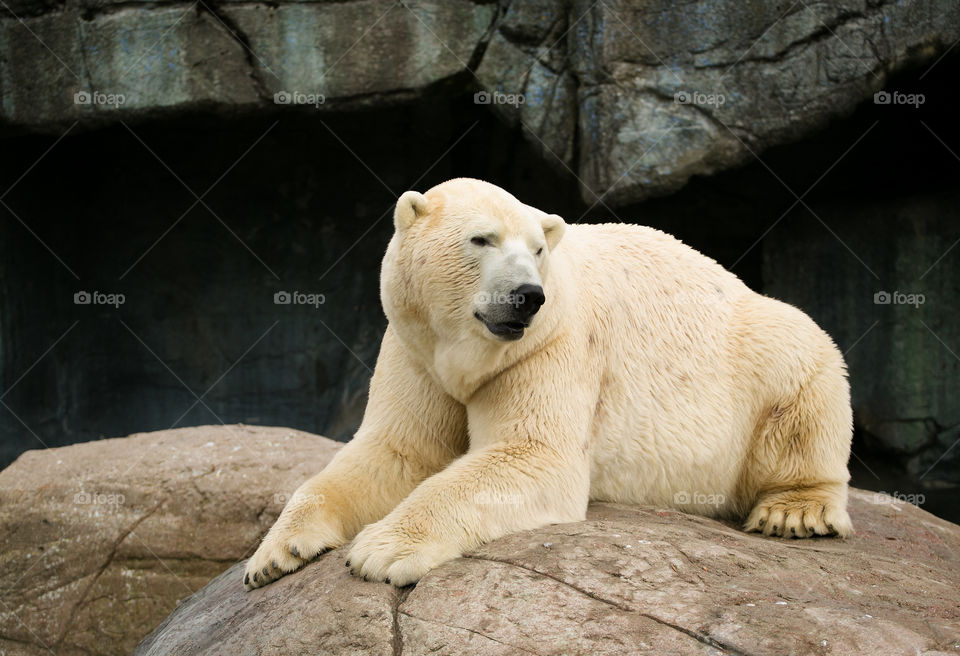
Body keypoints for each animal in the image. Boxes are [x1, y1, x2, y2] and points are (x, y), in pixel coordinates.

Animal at [244, 177, 852, 588]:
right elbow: (395, 452)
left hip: (760, 352)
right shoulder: (414, 348)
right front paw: (272, 555)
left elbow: (532, 453)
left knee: (806, 368)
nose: (526, 296)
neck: (466, 350)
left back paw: (794, 512)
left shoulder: (553, 344)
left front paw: (382, 550)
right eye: (481, 239)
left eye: (537, 248)